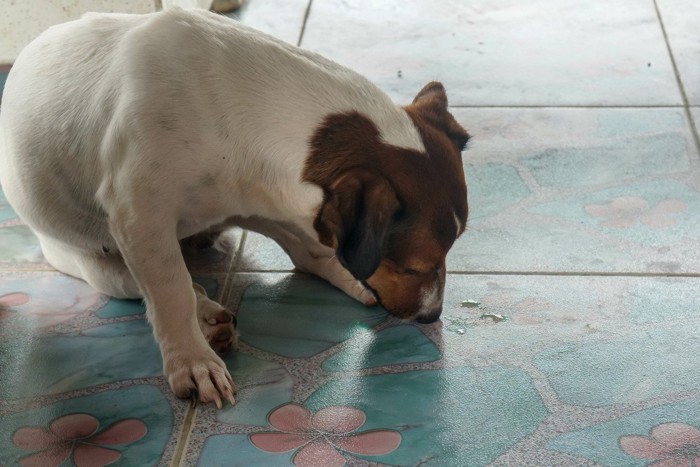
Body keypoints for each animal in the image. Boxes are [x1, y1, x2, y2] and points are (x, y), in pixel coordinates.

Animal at [1, 9, 470, 408]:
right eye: (413, 267)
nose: (433, 316)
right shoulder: (139, 216)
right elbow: (171, 291)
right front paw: (192, 360)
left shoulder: (265, 194)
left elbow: (310, 247)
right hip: (90, 259)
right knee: (152, 284)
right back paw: (207, 314)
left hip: (247, 207)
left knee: (302, 252)